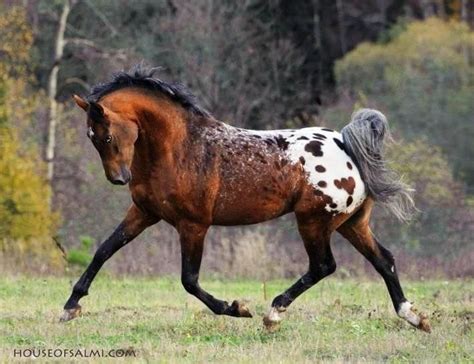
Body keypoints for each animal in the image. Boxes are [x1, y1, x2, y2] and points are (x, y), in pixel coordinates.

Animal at [61, 65, 432, 332]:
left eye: (107, 135)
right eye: (91, 137)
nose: (118, 179)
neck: (179, 148)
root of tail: (346, 145)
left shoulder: (194, 224)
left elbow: (189, 280)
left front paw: (236, 308)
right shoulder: (143, 212)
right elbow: (104, 250)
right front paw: (70, 307)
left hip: (313, 221)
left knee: (324, 265)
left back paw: (273, 313)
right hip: (350, 223)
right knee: (384, 259)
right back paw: (414, 317)